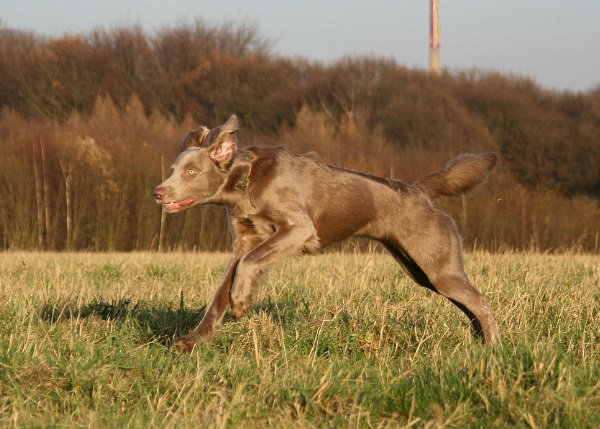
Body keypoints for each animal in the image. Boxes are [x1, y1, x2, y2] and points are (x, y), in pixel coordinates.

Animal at [152, 114, 500, 352]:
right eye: (172, 170)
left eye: (192, 171)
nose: (158, 192)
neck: (246, 182)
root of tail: (420, 191)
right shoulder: (244, 242)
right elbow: (222, 289)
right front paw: (193, 340)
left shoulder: (299, 229)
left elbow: (249, 265)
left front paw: (240, 304)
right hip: (423, 271)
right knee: (469, 304)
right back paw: (480, 342)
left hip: (438, 267)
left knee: (480, 301)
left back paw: (493, 347)